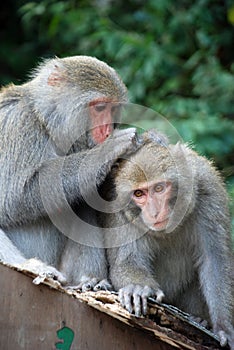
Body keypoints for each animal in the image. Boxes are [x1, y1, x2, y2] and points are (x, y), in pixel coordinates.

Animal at [0, 54, 139, 290]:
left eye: (113, 109)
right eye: (100, 108)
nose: (107, 131)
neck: (45, 121)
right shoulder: (17, 124)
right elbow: (13, 197)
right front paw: (106, 151)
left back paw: (89, 280)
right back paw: (31, 265)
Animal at [101, 131, 234, 348]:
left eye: (159, 188)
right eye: (139, 193)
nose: (154, 212)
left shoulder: (208, 190)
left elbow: (215, 261)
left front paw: (224, 327)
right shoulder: (118, 211)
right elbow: (125, 262)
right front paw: (139, 289)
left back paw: (199, 319)